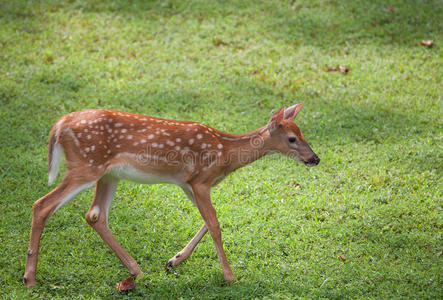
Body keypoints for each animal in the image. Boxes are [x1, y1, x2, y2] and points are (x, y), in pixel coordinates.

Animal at [23, 101, 320, 290]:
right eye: (292, 138)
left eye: (303, 133)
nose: (315, 159)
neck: (225, 152)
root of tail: (59, 125)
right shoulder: (200, 180)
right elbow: (215, 224)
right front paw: (230, 276)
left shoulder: (188, 184)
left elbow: (208, 221)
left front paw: (173, 261)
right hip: (86, 165)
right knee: (42, 205)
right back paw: (30, 278)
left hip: (108, 174)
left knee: (95, 215)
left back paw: (136, 271)